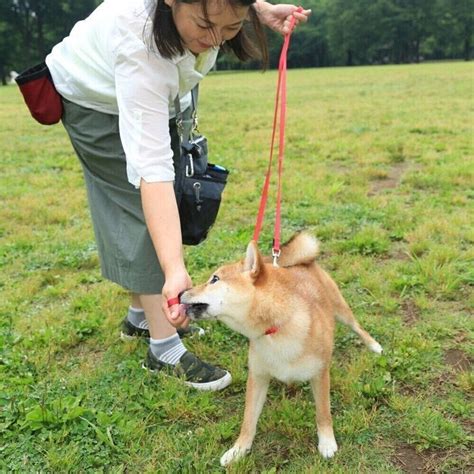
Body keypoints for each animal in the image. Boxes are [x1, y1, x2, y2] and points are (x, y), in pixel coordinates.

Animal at [180, 233, 384, 466]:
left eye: (214, 279)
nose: (182, 292)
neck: (276, 327)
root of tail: (303, 263)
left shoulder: (320, 374)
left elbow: (323, 413)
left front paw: (327, 443)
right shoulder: (258, 377)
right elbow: (248, 420)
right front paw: (238, 450)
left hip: (341, 309)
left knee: (357, 326)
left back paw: (374, 346)